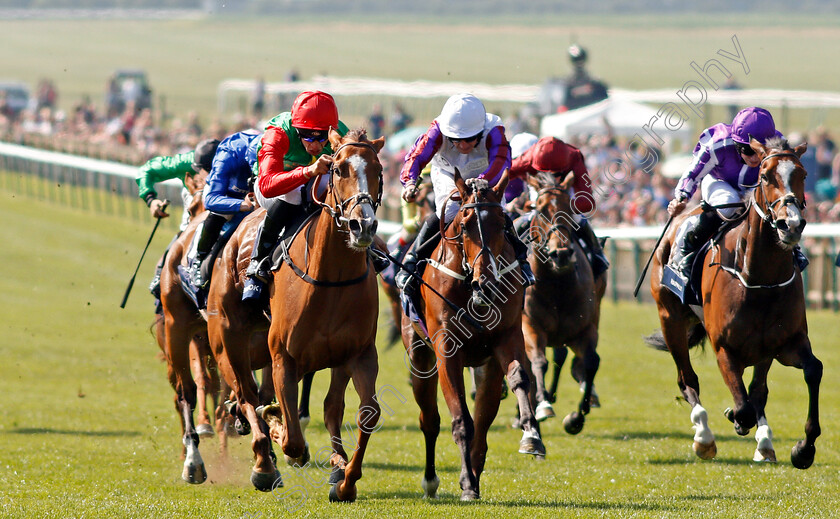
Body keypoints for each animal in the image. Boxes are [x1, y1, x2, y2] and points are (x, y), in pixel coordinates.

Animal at [208, 128, 386, 502]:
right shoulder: (283, 357)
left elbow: (362, 413)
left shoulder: (358, 354)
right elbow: (291, 438)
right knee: (245, 394)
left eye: (379, 171)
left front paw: (345, 478)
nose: (362, 226)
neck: (331, 279)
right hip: (228, 340)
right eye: (337, 169)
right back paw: (263, 464)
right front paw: (279, 432)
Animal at [400, 170, 544, 500]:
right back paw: (431, 480)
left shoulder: (507, 337)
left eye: (502, 225)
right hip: (420, 358)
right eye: (464, 226)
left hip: (486, 367)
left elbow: (519, 378)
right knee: (430, 420)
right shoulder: (445, 349)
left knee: (484, 417)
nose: (486, 284)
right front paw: (465, 482)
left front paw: (531, 434)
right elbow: (460, 419)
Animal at [520, 174, 604, 434]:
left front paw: (577, 417)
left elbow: (591, 362)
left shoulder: (585, 328)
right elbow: (538, 362)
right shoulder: (529, 325)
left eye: (570, 208)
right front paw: (543, 404)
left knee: (562, 357)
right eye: (541, 210)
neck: (556, 285)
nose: (562, 254)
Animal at [648, 137, 820, 468]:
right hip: (669, 318)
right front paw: (735, 418)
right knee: (687, 379)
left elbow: (810, 371)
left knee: (758, 390)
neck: (759, 279)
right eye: (765, 176)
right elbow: (743, 406)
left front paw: (803, 448)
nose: (791, 225)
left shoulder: (785, 343)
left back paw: (764, 443)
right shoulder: (724, 348)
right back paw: (704, 438)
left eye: (803, 174)